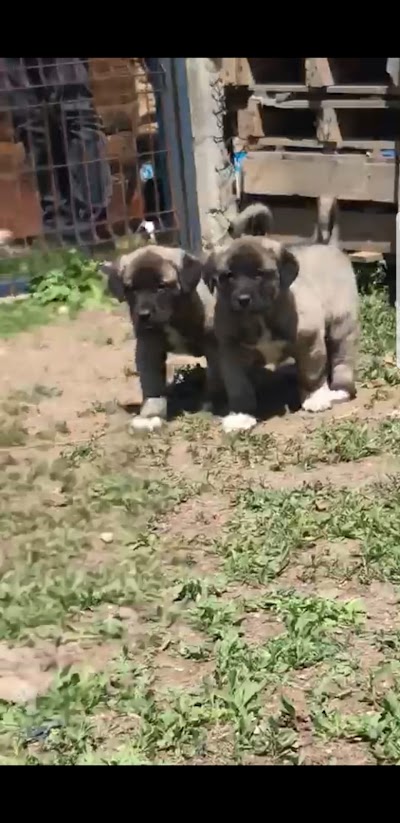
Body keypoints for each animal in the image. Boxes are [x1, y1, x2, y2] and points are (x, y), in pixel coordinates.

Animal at [101, 245, 217, 432]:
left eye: (161, 287)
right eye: (131, 289)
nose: (143, 315)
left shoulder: (214, 346)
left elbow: (215, 378)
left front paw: (212, 404)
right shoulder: (148, 348)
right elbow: (152, 385)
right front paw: (150, 414)